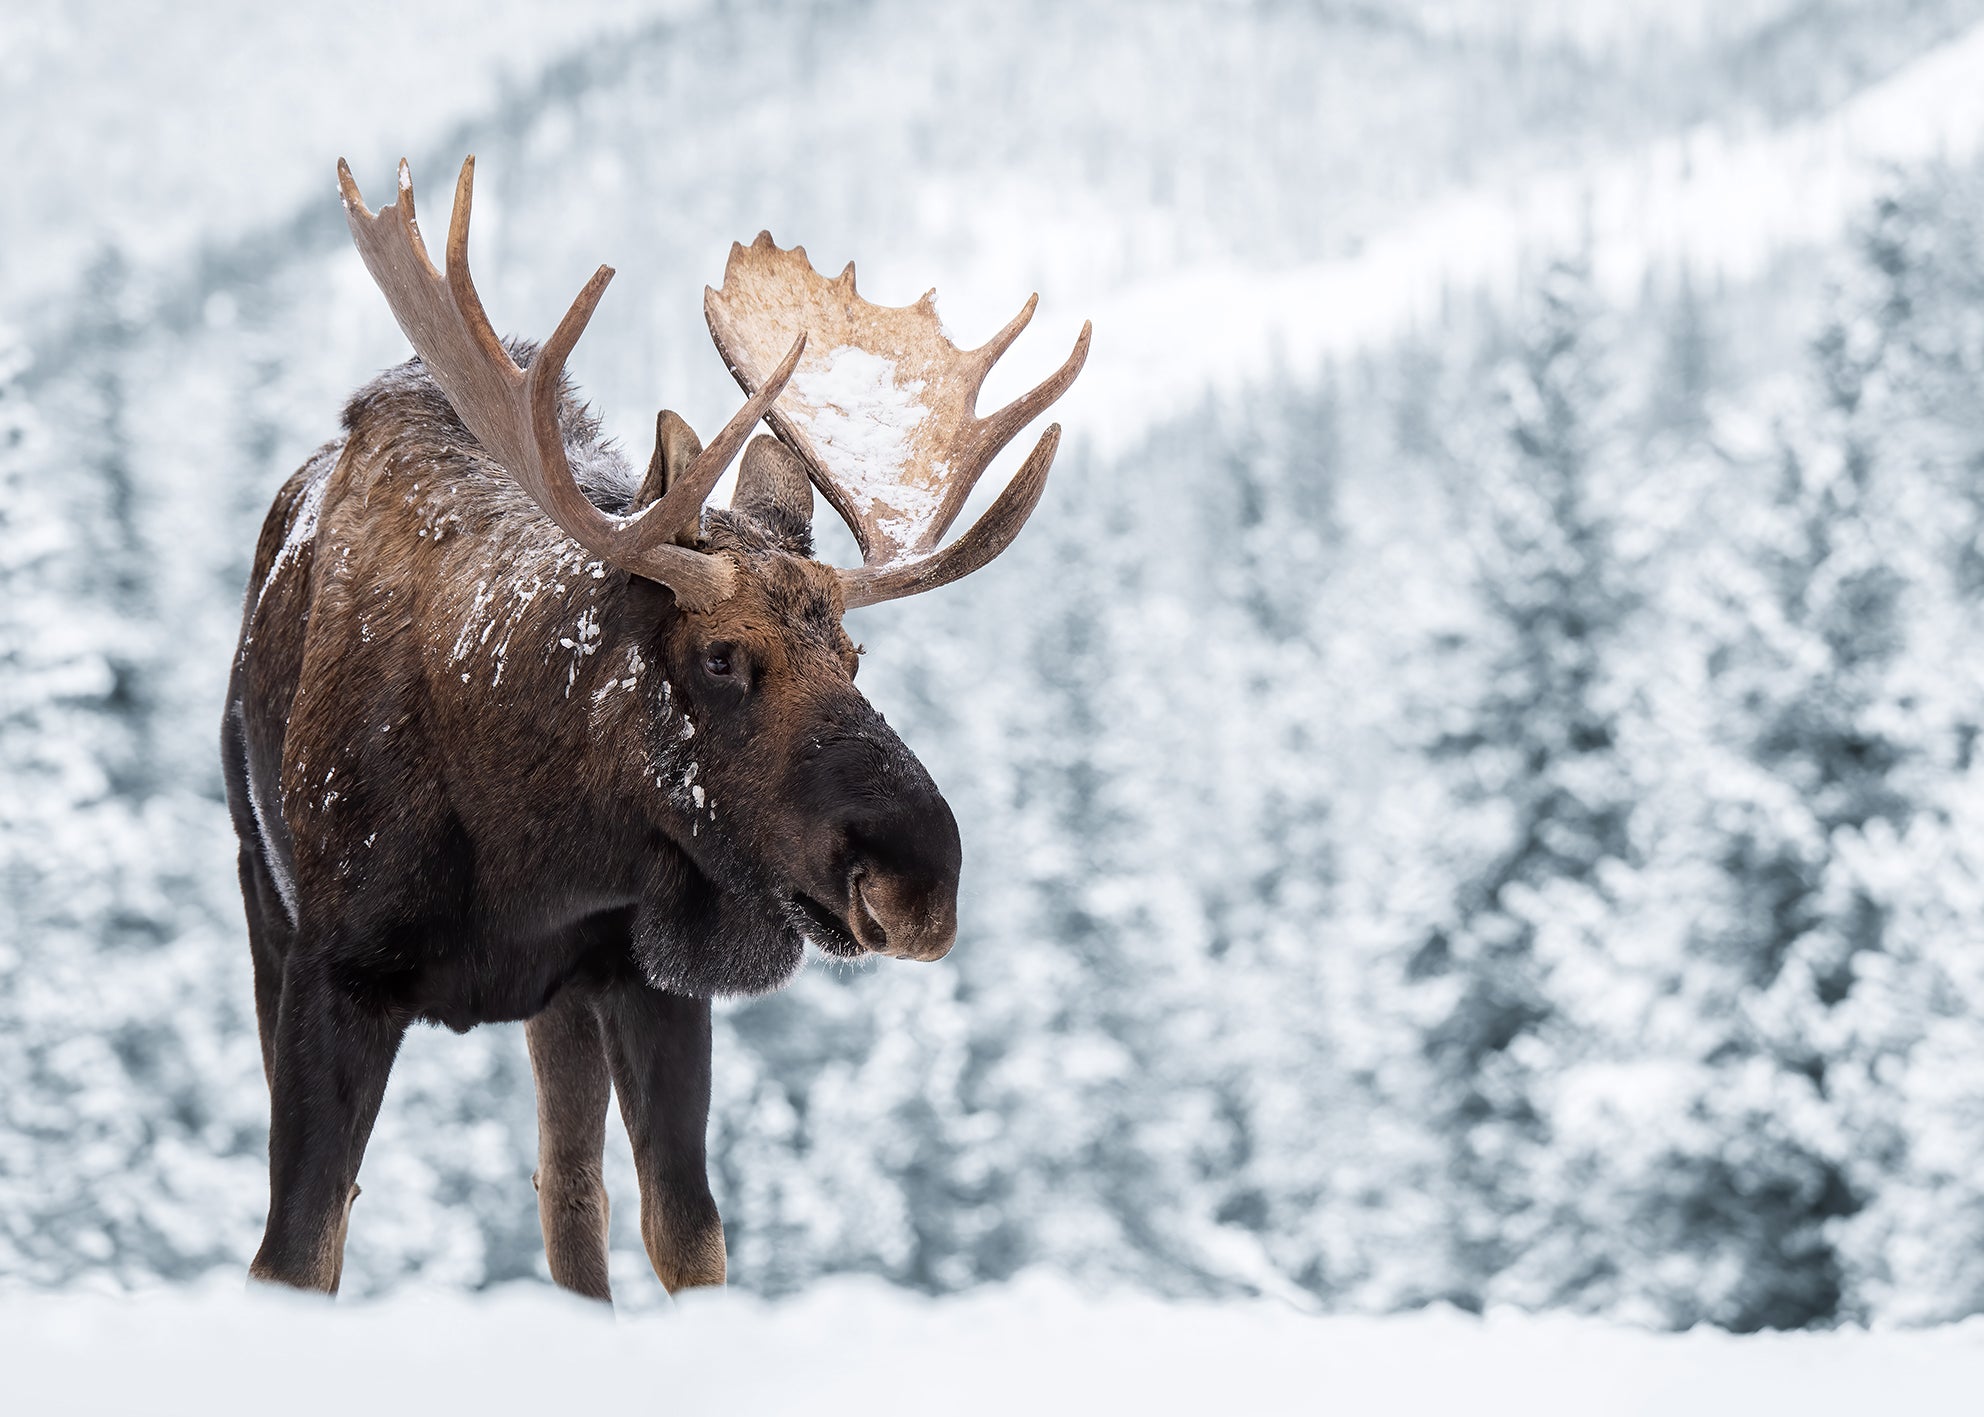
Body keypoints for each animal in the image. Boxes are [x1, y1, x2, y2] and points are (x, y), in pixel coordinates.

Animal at [221, 156, 1088, 1300]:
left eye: (855, 655)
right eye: (720, 655)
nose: (919, 878)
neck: (525, 850)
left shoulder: (646, 978)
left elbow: (688, 1235)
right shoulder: (332, 969)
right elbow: (295, 1250)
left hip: (561, 1004)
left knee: (569, 1200)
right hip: (259, 892)